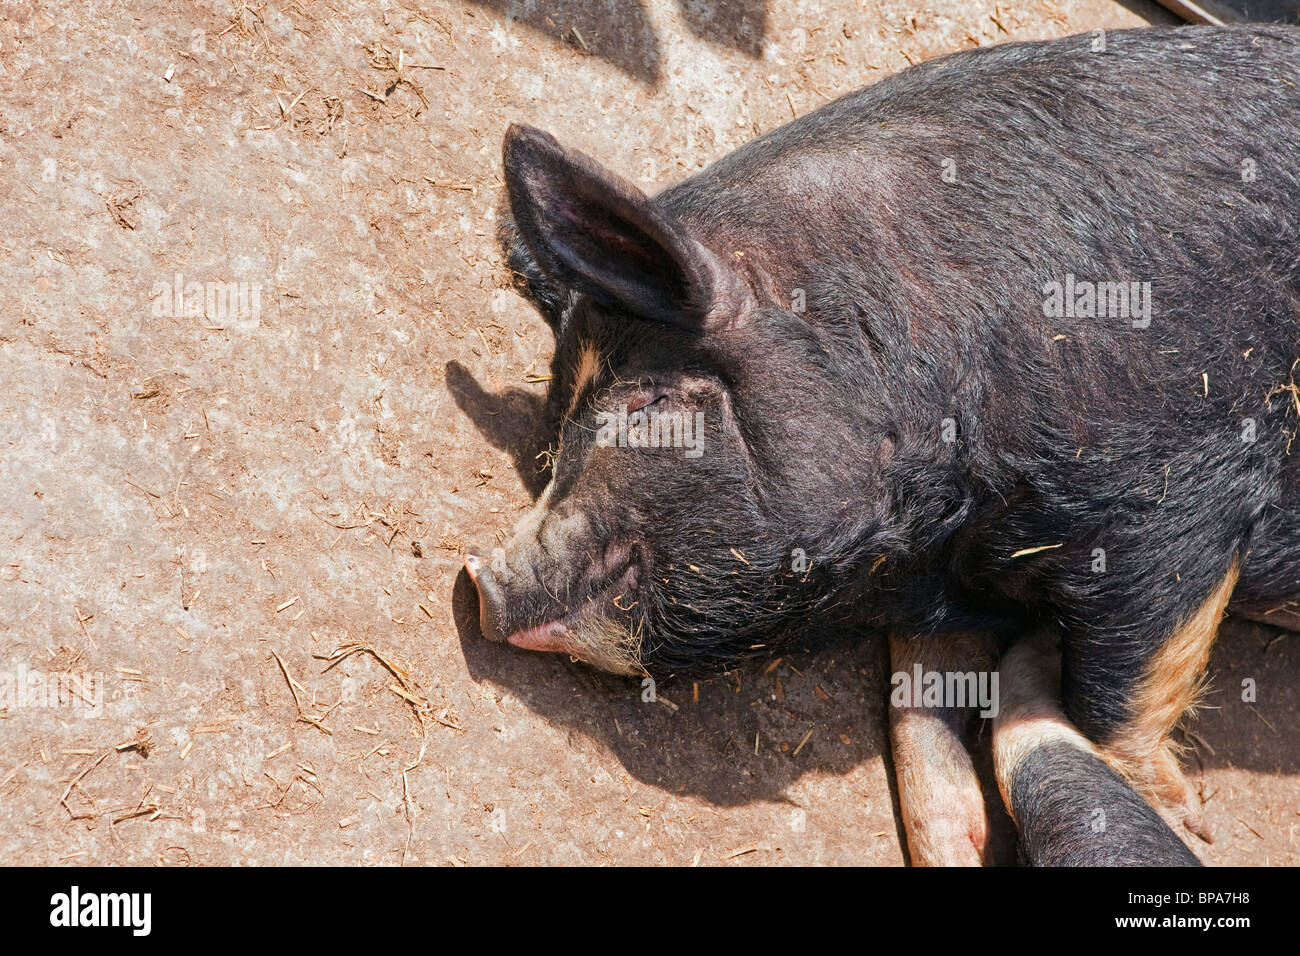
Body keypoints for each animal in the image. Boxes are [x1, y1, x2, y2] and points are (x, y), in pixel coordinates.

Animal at [463, 25, 1300, 865]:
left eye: (651, 401)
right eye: (553, 439)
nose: (480, 577)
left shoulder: (1180, 495)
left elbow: (1117, 692)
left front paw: (1190, 819)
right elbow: (917, 717)